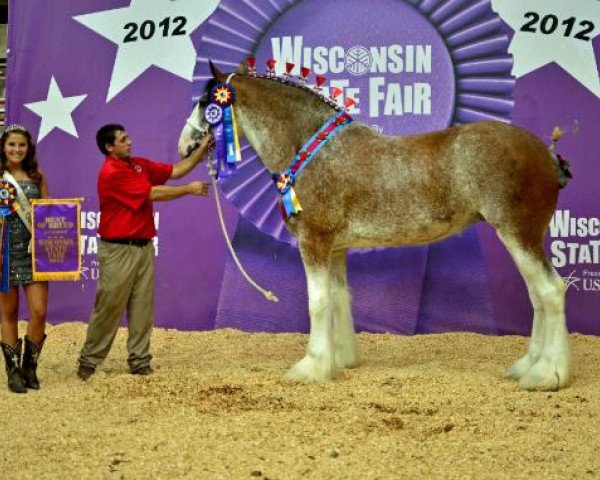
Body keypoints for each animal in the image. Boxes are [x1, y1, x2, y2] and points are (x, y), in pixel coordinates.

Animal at [180, 62, 576, 390]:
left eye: (207, 101)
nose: (185, 146)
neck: (313, 150)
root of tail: (545, 152)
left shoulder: (314, 242)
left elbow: (317, 302)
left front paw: (310, 367)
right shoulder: (336, 247)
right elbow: (340, 297)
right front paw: (340, 360)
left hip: (517, 234)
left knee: (551, 291)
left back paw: (547, 375)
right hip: (526, 238)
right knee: (538, 296)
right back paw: (527, 366)